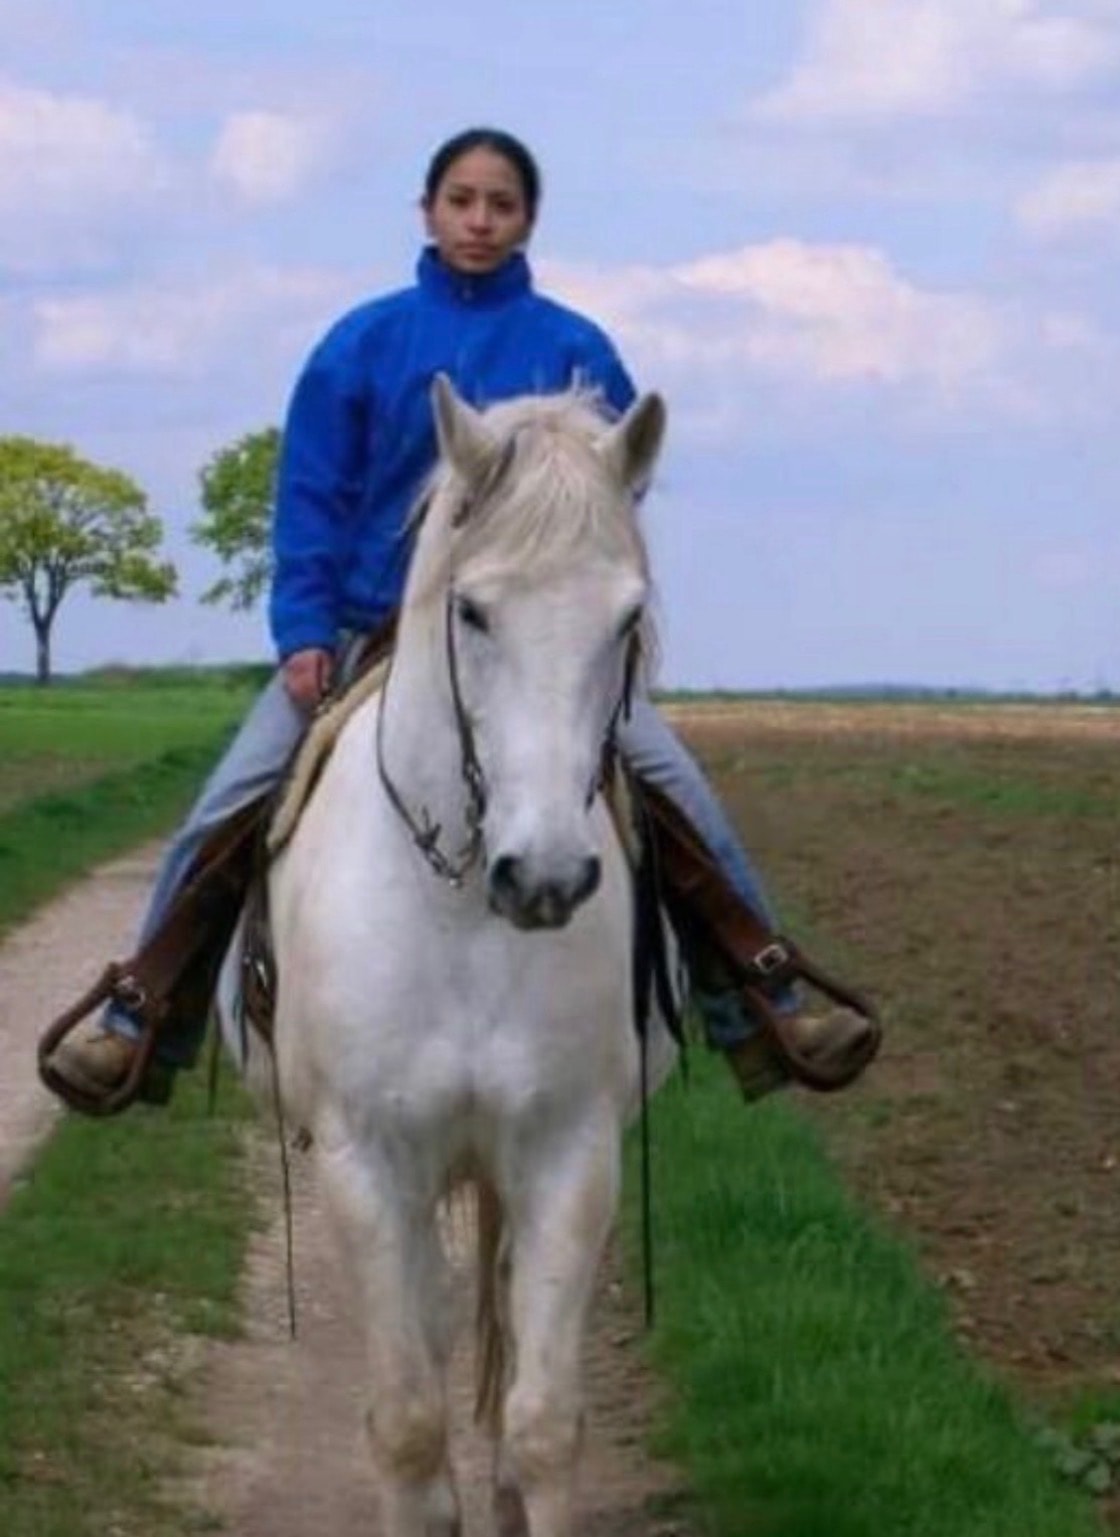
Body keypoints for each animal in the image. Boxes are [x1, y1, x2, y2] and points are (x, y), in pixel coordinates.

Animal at [223, 375, 671, 1537]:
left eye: (626, 617)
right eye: (472, 610)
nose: (546, 876)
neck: (464, 905)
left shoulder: (568, 1152)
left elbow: (544, 1420)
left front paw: (520, 1481)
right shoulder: (367, 1163)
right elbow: (409, 1420)